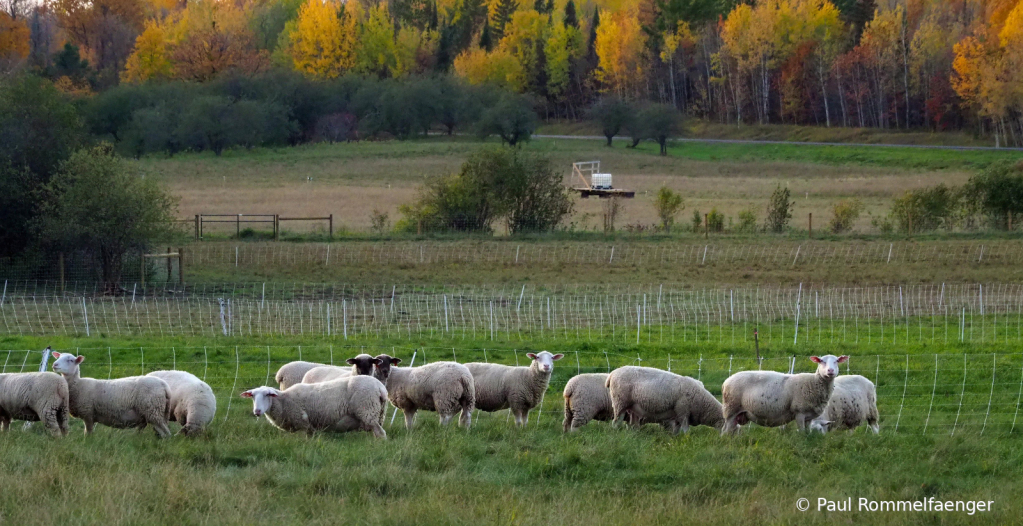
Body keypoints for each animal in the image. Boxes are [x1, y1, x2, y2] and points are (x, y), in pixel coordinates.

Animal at [239, 374, 386, 435]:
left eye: (267, 395)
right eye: (252, 396)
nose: (257, 411)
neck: (284, 400)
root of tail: (380, 388)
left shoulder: (303, 423)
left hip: (367, 410)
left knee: (380, 433)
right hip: (377, 414)